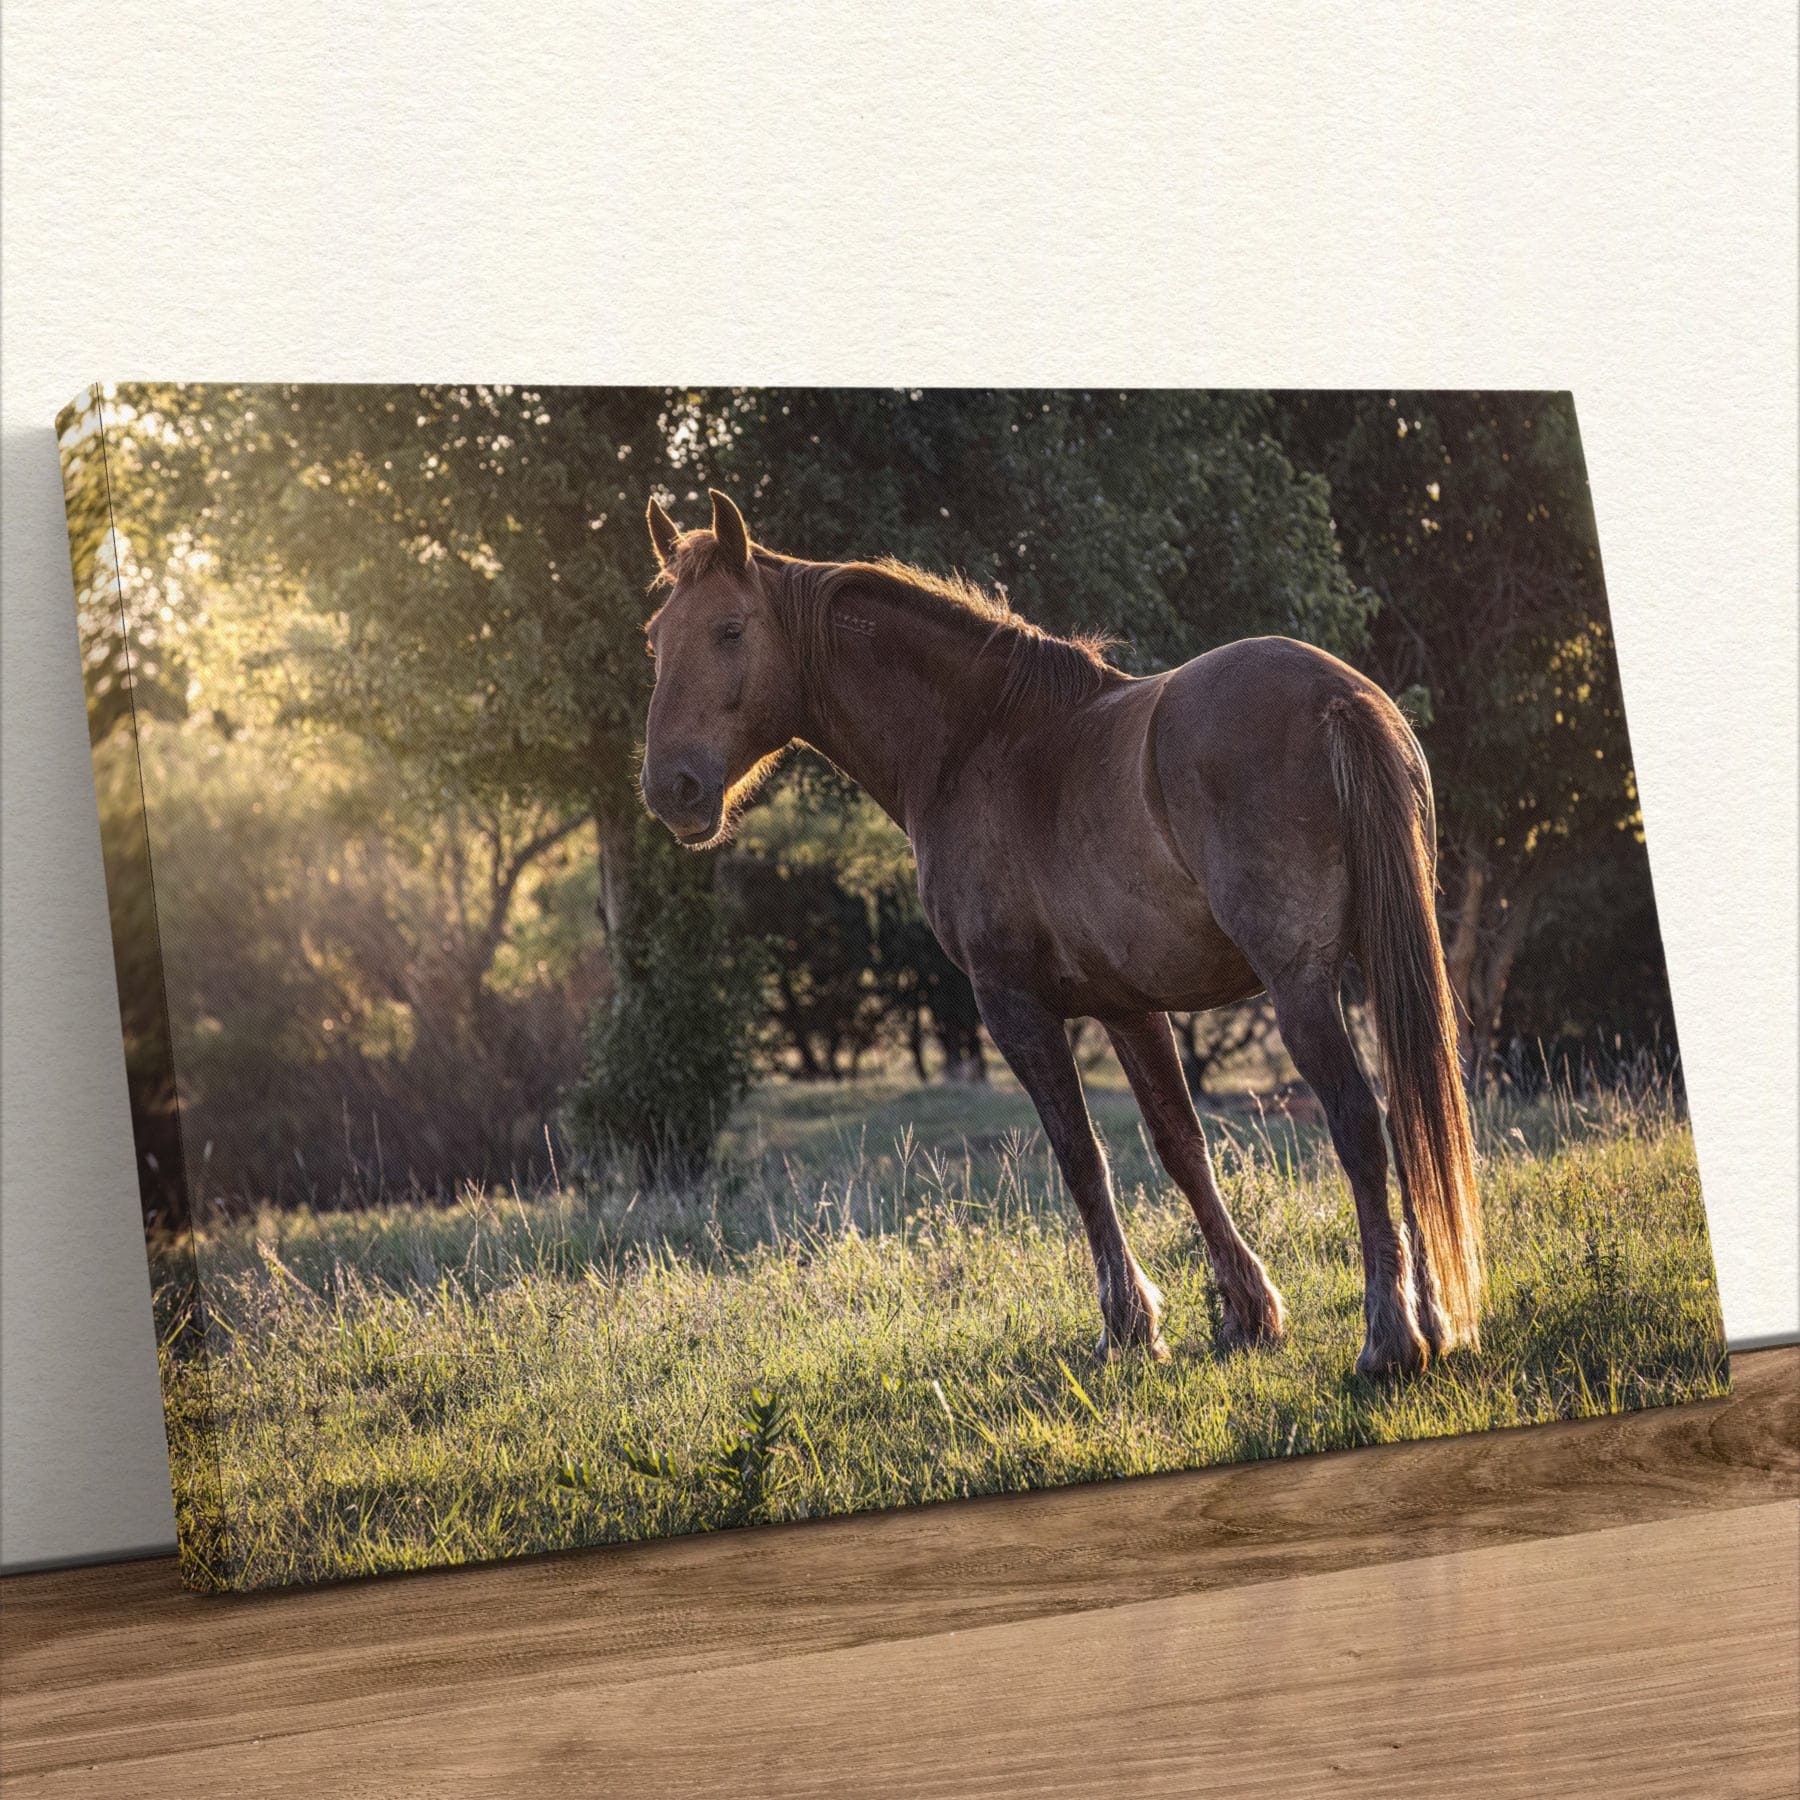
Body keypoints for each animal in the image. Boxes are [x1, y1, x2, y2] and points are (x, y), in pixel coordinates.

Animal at [636, 489, 1483, 1376]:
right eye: (656, 638)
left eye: (730, 629)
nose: (671, 789)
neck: (979, 742)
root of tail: (1335, 699)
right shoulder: (1128, 1006)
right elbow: (1181, 1146)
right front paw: (1247, 1312)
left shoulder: (1013, 1004)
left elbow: (1081, 1156)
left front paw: (1128, 1324)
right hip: (1383, 962)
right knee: (1412, 1118)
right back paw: (1433, 1318)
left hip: (1303, 986)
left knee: (1357, 1121)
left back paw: (1389, 1339)